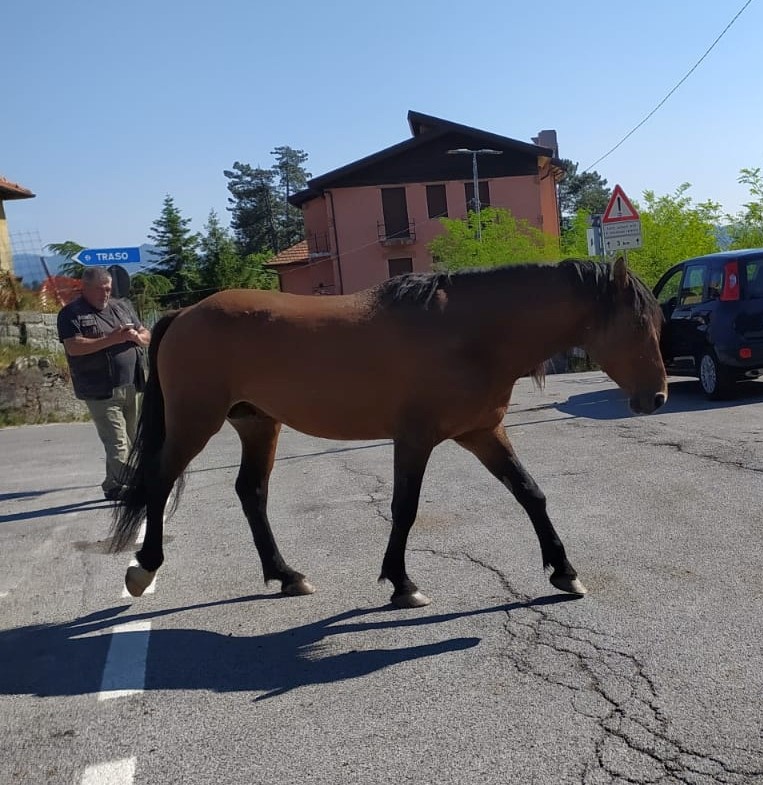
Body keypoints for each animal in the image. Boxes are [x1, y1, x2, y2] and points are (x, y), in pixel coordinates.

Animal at [112, 256, 667, 608]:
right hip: (195, 421)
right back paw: (144, 568)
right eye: (638, 324)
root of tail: (185, 312)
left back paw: (287, 575)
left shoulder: (483, 432)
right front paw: (403, 584)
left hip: (257, 423)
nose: (657, 398)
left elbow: (530, 493)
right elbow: (406, 508)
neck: (469, 333)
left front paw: (564, 572)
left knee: (251, 492)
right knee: (159, 483)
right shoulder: (416, 439)